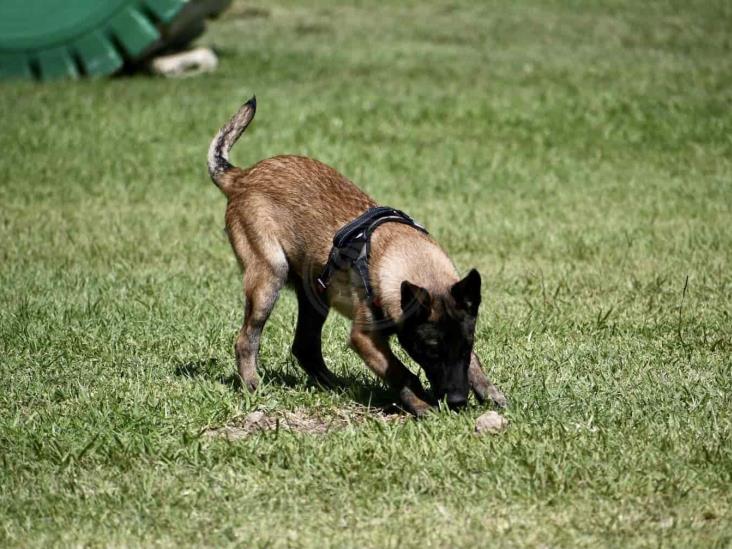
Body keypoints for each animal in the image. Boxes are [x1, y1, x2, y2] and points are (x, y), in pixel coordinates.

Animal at [204, 97, 504, 416]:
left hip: (314, 295)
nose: (457, 401)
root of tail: (242, 176)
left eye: (466, 346)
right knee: (246, 340)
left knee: (305, 347)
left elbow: (474, 365)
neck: (402, 256)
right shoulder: (364, 338)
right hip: (270, 276)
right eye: (430, 350)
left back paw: (336, 386)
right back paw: (253, 384)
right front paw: (420, 403)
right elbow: (401, 372)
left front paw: (489, 391)